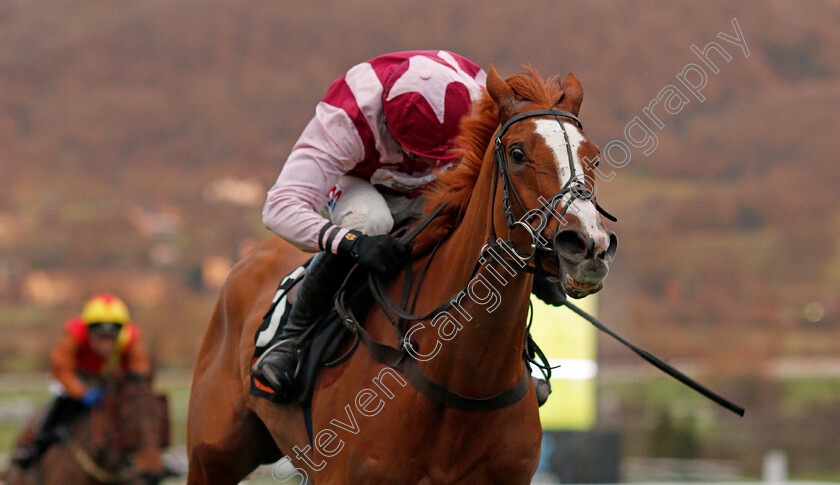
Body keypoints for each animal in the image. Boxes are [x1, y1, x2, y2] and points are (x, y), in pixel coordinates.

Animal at [185, 66, 616, 482]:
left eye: (594, 157)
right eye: (517, 153)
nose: (588, 245)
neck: (463, 381)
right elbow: (287, 199)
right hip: (212, 459)